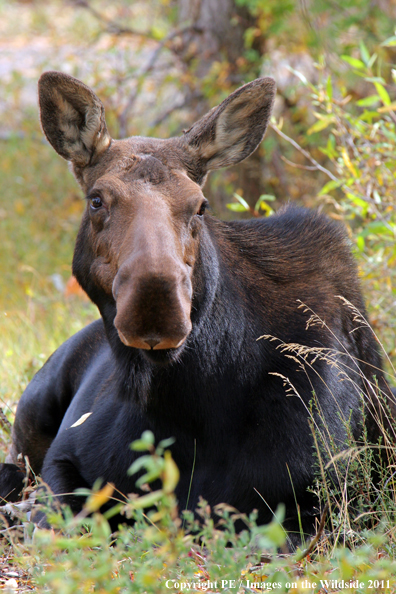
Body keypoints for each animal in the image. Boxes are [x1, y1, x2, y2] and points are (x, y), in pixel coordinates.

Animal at [0, 73, 392, 536]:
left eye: (200, 205)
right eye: (97, 199)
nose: (155, 306)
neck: (187, 406)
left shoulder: (318, 506)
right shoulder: (66, 458)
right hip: (35, 407)